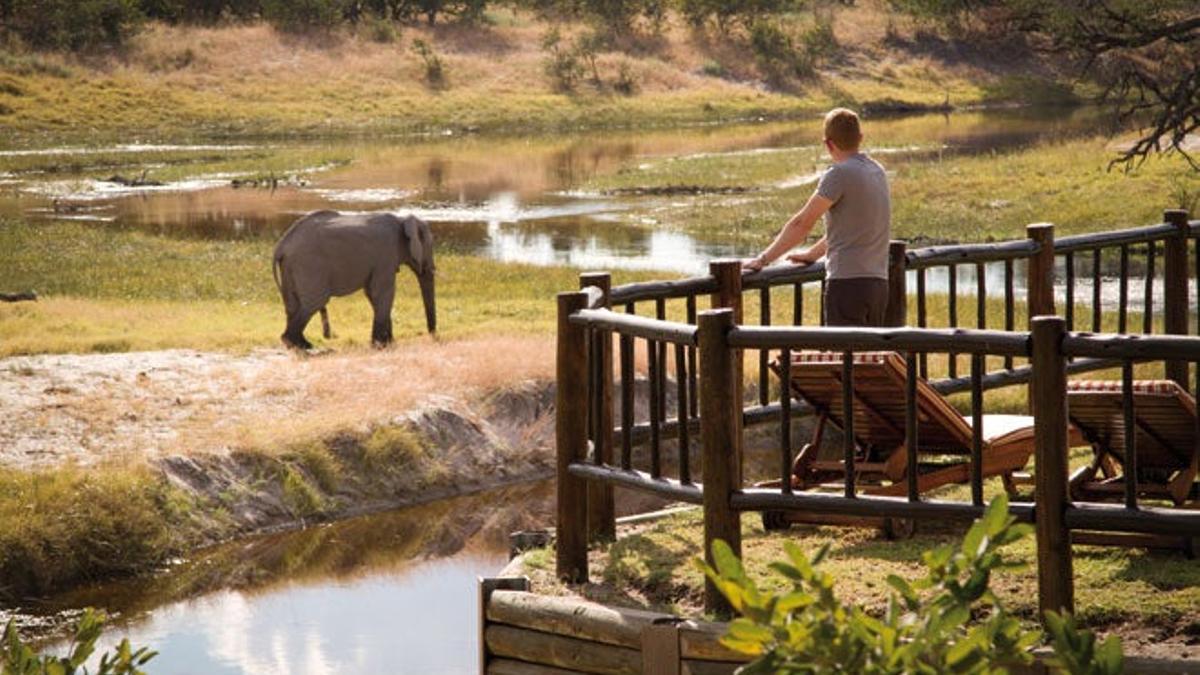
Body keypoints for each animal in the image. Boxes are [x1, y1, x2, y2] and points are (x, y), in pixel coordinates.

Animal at [272, 210, 436, 348]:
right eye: (430, 246)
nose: (432, 334)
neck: (402, 219)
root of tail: (281, 245)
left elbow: (372, 294)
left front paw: (387, 343)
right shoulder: (385, 256)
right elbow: (382, 293)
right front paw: (381, 345)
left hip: (290, 267)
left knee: (293, 305)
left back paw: (299, 344)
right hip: (308, 265)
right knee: (315, 302)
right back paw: (303, 346)